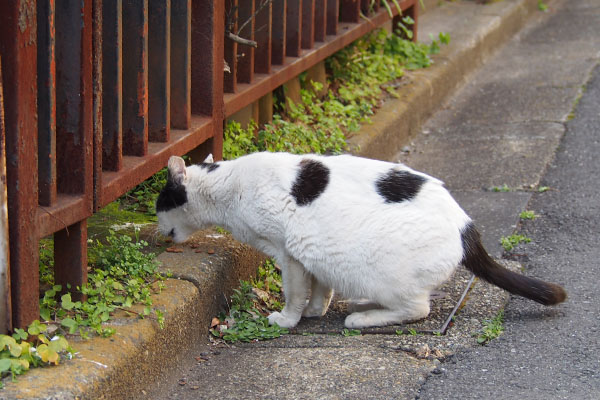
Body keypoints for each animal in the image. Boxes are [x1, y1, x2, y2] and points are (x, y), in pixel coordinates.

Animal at [156, 152, 568, 328]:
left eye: (159, 204)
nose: (156, 225)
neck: (228, 187)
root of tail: (467, 226)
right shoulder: (311, 252)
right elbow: (319, 289)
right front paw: (315, 312)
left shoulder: (290, 252)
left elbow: (295, 292)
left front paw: (288, 320)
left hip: (382, 267)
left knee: (418, 308)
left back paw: (363, 318)